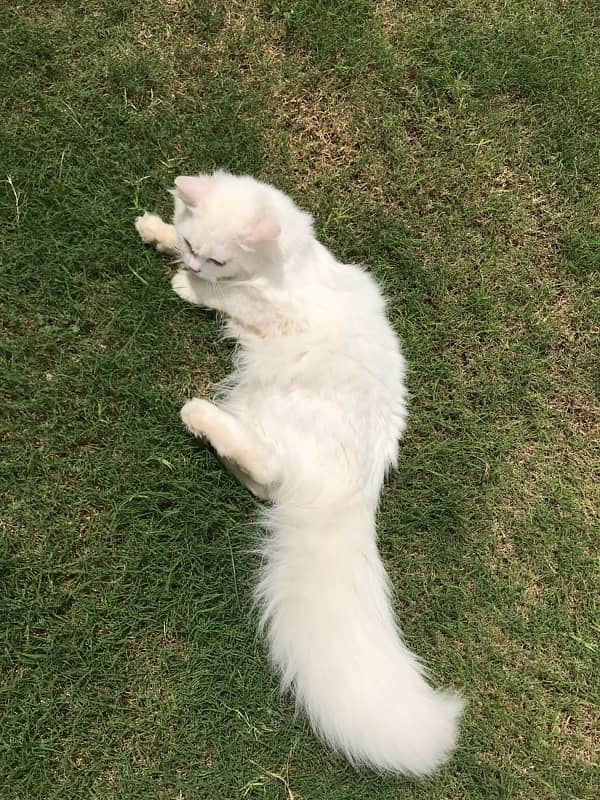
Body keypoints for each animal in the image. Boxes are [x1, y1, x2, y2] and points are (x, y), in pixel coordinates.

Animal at [136, 173, 464, 776]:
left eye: (218, 258)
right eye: (196, 247)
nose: (194, 266)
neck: (284, 262)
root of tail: (357, 491)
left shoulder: (267, 305)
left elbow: (229, 297)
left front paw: (188, 287)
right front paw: (158, 231)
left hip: (280, 413)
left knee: (265, 463)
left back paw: (198, 415)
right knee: (264, 479)